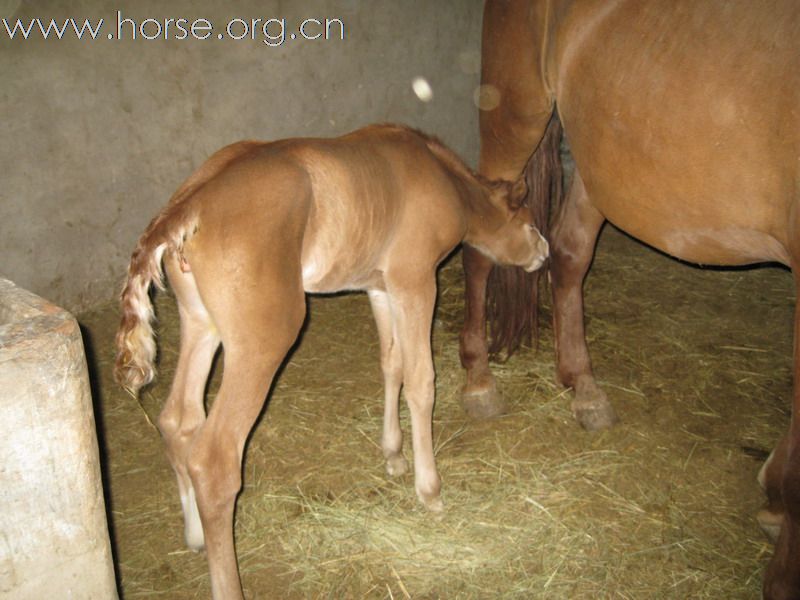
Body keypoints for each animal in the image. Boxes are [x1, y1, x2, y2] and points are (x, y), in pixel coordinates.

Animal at [114, 123, 552, 600]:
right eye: (530, 221)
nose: (545, 252)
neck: (443, 178)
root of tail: (188, 204)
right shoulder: (415, 280)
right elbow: (421, 380)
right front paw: (430, 490)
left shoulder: (378, 286)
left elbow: (391, 364)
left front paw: (393, 455)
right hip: (263, 340)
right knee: (214, 458)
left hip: (200, 324)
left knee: (179, 420)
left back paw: (194, 535)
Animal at [460, 2, 800, 596]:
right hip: (518, 116)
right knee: (483, 247)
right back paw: (479, 379)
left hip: (599, 157)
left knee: (569, 254)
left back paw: (584, 388)